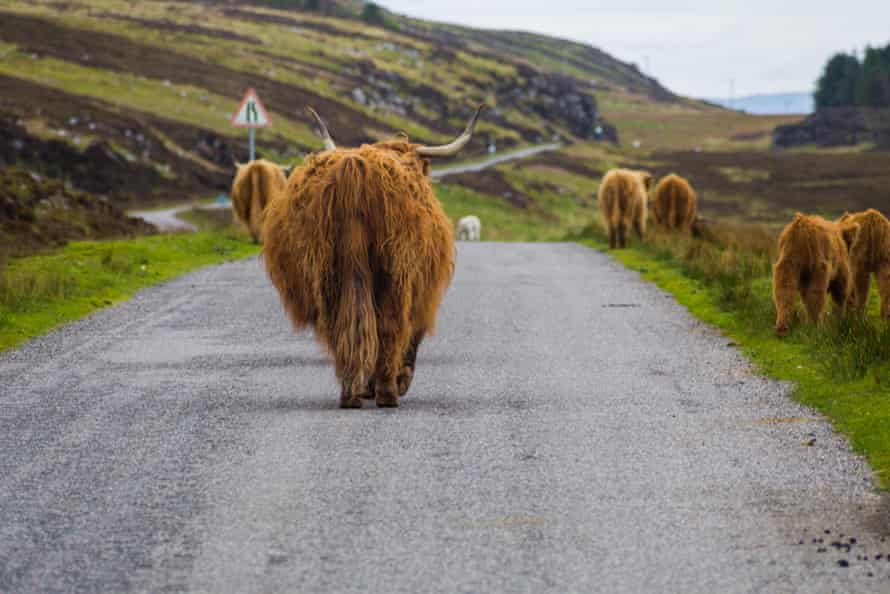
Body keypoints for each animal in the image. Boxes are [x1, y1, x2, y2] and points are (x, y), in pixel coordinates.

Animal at [264, 105, 486, 408]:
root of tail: (355, 169)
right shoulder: (421, 290)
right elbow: (409, 336)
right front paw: (399, 381)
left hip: (330, 274)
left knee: (344, 326)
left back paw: (351, 393)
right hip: (393, 274)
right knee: (389, 327)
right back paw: (387, 392)